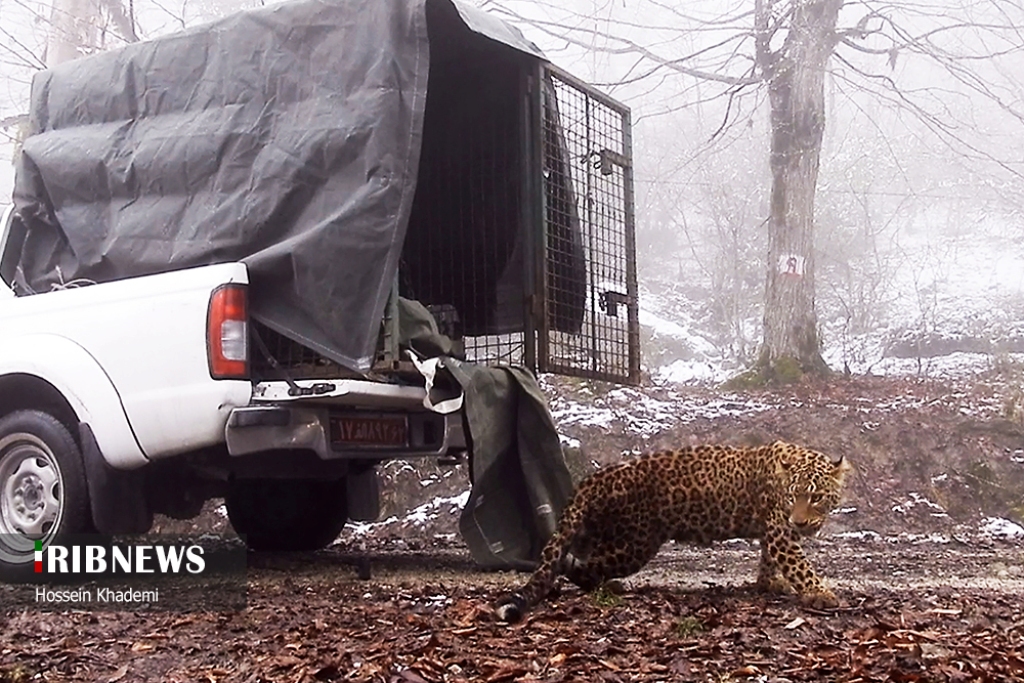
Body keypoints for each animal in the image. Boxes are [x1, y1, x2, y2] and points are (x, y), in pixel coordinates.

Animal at [493, 440, 847, 622]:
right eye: (792, 497)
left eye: (816, 497)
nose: (799, 522)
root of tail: (593, 479)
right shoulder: (780, 531)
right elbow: (799, 565)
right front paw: (821, 594)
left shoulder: (773, 530)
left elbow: (767, 558)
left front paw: (768, 582)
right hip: (636, 542)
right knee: (581, 566)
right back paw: (607, 584)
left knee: (573, 559)